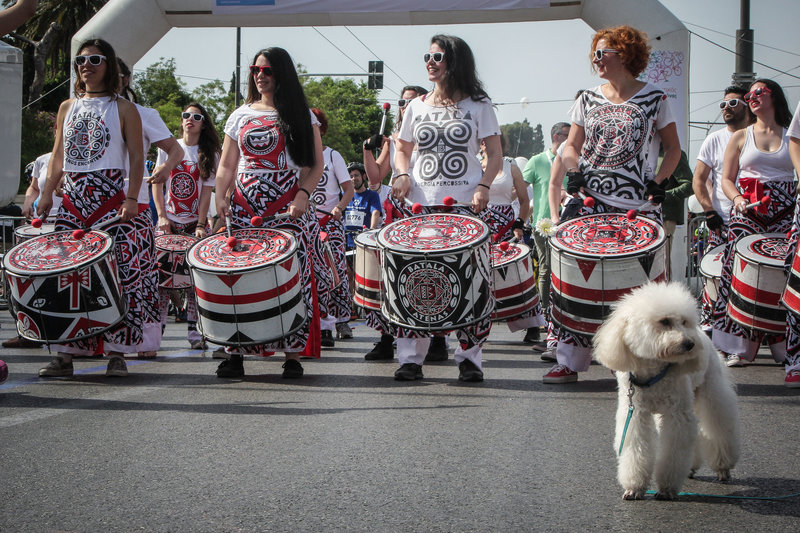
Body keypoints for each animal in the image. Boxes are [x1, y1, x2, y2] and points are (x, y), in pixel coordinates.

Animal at [592, 282, 736, 498]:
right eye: (664, 321)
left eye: (684, 322)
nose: (689, 344)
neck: (654, 372)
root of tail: (702, 334)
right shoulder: (636, 413)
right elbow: (636, 448)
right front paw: (634, 487)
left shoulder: (676, 414)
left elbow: (674, 451)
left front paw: (667, 489)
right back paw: (691, 467)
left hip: (711, 392)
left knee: (719, 427)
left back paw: (723, 468)